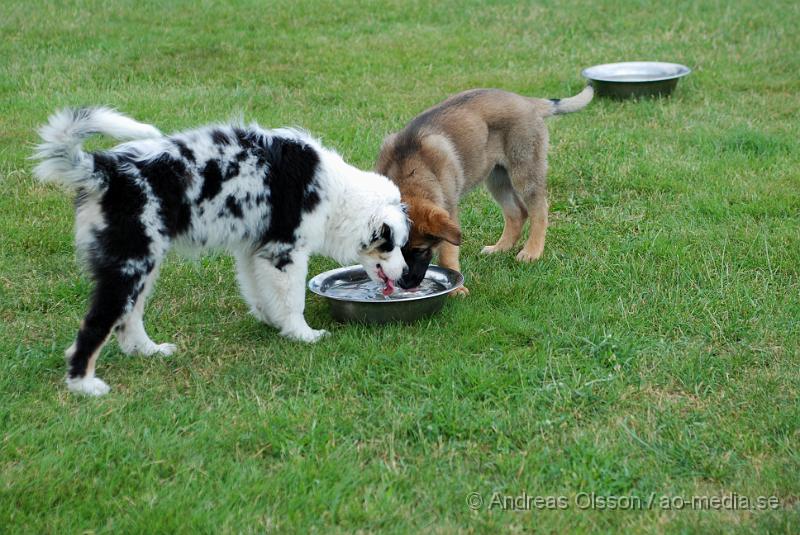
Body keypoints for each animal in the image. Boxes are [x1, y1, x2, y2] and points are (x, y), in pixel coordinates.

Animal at [34, 109, 410, 396]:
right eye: (391, 244)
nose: (407, 275)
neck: (337, 194)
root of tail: (105, 170)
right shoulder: (285, 251)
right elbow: (292, 300)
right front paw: (303, 335)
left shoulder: (254, 249)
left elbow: (260, 293)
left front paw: (272, 322)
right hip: (130, 262)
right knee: (96, 323)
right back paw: (84, 385)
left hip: (143, 263)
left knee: (129, 318)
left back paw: (149, 352)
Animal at [376, 85, 592, 294]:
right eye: (391, 250)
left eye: (420, 251)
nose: (405, 285)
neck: (409, 170)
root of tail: (527, 101)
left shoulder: (449, 210)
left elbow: (447, 254)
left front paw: (457, 289)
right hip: (497, 177)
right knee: (517, 212)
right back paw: (500, 248)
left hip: (524, 170)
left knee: (539, 211)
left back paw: (532, 251)